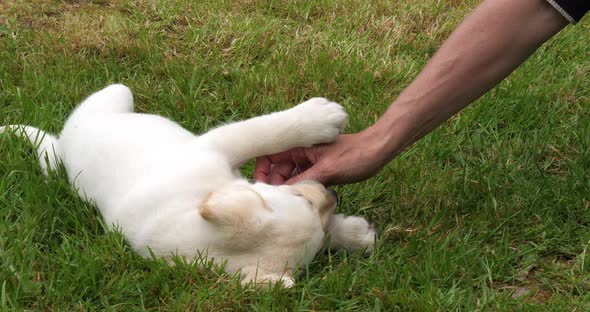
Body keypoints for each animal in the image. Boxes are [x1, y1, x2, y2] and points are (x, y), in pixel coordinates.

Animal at [0, 84, 376, 288]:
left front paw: (355, 235)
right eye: (304, 199)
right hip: (109, 99)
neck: (196, 201)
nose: (332, 193)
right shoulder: (215, 145)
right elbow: (261, 130)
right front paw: (319, 118)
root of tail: (60, 146)